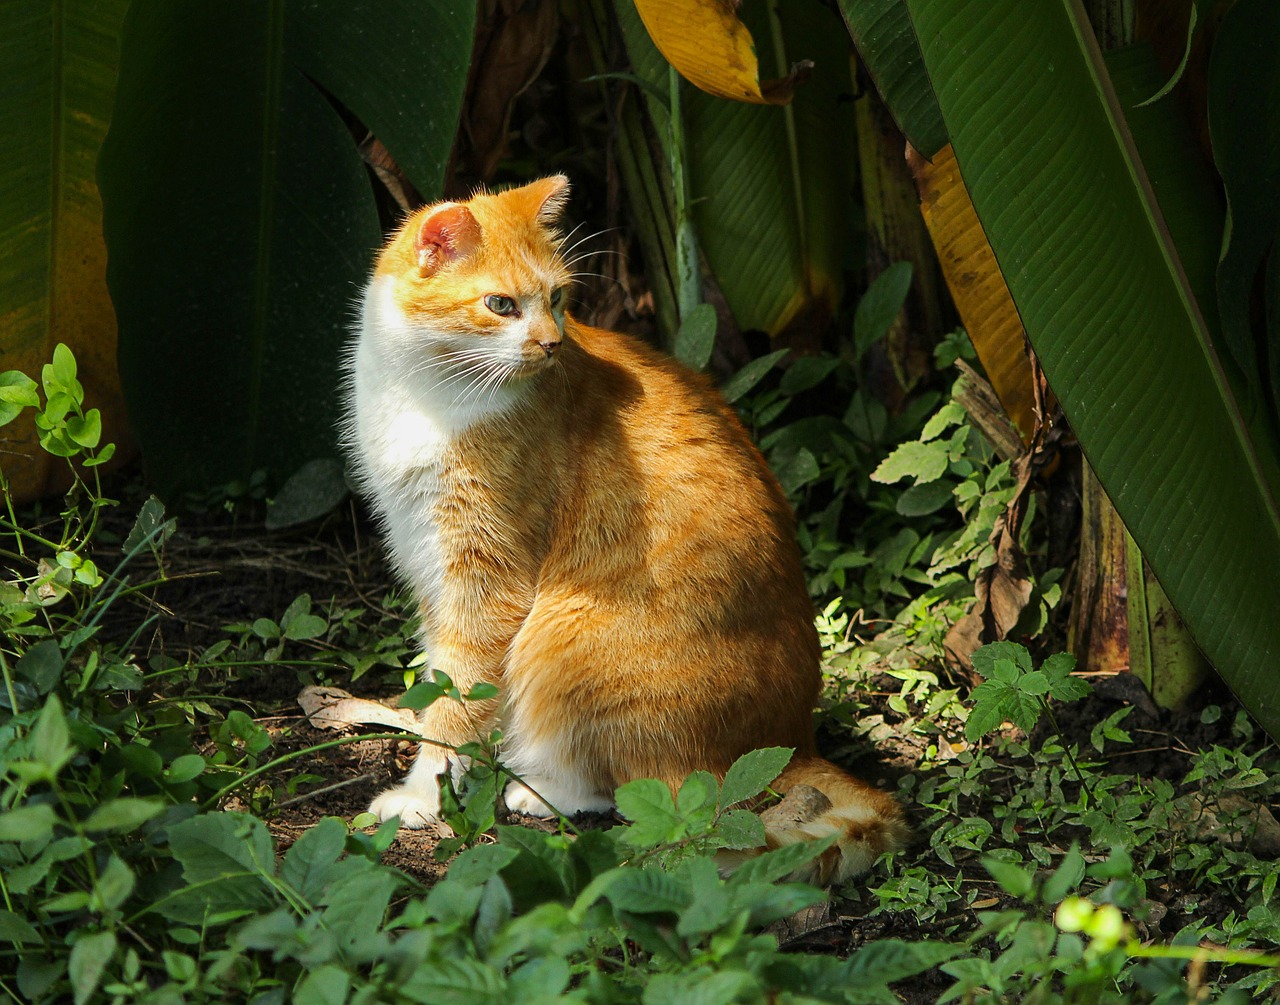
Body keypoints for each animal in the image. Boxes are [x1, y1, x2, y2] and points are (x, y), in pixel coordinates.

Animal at [345, 176, 906, 880]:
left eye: (557, 299)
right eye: (500, 304)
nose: (550, 344)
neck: (427, 392)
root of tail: (794, 739)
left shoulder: (486, 583)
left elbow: (455, 701)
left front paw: (423, 795)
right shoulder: (427, 563)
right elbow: (448, 690)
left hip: (562, 638)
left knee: (631, 786)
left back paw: (541, 789)